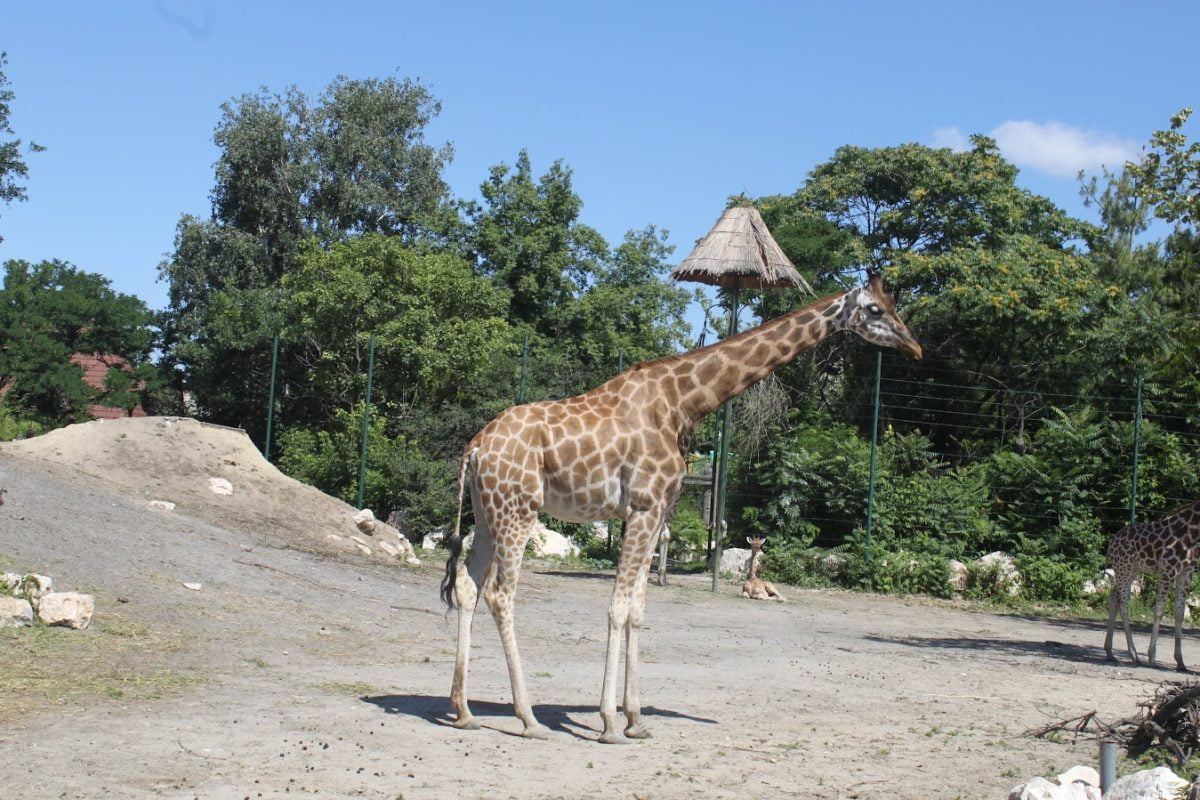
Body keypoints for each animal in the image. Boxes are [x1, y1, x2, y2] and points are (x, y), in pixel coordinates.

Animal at [441, 272, 916, 743]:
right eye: (875, 308)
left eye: (894, 305)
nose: (915, 347)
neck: (685, 402)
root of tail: (476, 446)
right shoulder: (643, 507)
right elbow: (617, 607)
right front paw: (609, 722)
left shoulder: (658, 513)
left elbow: (637, 609)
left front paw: (636, 719)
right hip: (518, 509)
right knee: (501, 593)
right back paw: (529, 718)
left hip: (488, 512)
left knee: (467, 585)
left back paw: (463, 710)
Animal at [1104, 496, 1200, 671]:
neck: (1192, 532)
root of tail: (1111, 543)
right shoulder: (1168, 570)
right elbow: (1159, 611)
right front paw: (1152, 658)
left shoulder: (1186, 573)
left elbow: (1179, 614)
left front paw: (1180, 662)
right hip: (1124, 567)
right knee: (1124, 603)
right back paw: (1134, 655)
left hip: (1131, 570)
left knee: (1114, 597)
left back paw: (1109, 652)